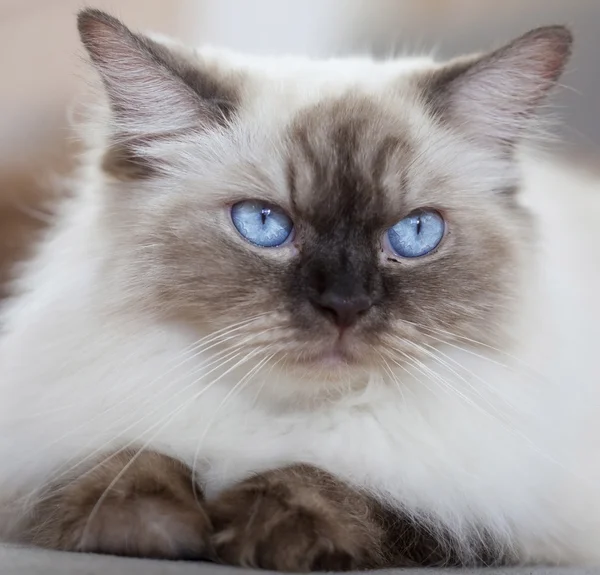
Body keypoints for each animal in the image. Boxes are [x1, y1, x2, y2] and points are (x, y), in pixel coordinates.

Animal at [1, 7, 600, 572]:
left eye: (415, 233)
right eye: (263, 223)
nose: (345, 306)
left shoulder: (506, 513)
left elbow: (360, 494)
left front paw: (262, 528)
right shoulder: (41, 455)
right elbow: (115, 468)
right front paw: (150, 524)